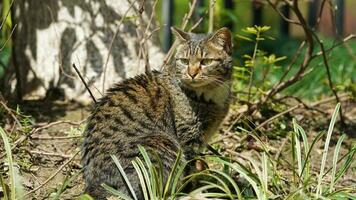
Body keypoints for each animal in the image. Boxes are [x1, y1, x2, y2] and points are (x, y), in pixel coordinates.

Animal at [81, 27, 234, 199]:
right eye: (184, 61)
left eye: (205, 62)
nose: (192, 73)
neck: (210, 95)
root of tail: (95, 183)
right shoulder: (187, 140)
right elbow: (189, 168)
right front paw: (195, 187)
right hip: (161, 143)